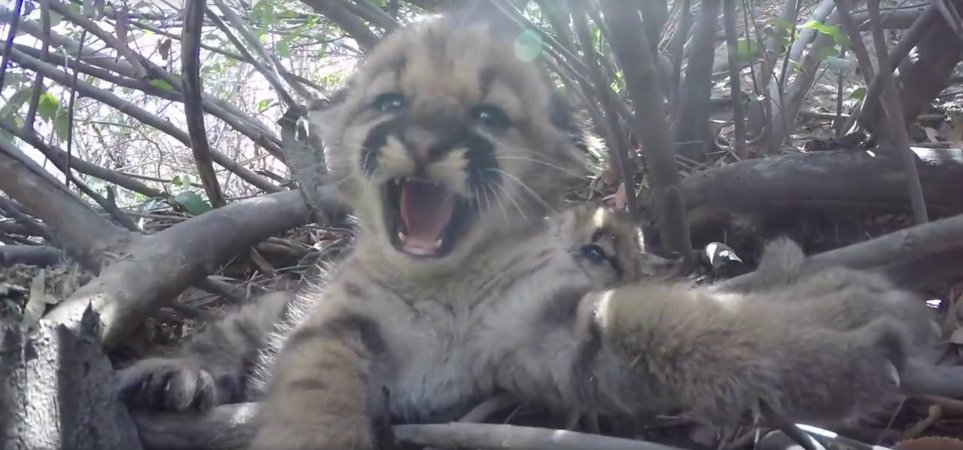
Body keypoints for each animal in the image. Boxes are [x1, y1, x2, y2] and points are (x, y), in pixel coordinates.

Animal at [241, 11, 920, 450]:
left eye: (489, 117)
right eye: (389, 103)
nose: (427, 141)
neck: (447, 285)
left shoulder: (546, 329)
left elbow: (664, 319)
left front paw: (823, 329)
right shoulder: (332, 327)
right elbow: (313, 395)